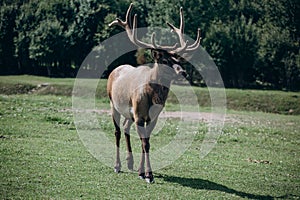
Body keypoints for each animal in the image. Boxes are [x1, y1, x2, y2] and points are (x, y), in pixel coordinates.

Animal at [106, 3, 200, 184]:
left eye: (177, 60)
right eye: (164, 60)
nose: (183, 72)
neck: (152, 96)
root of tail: (115, 70)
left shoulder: (153, 117)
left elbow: (147, 142)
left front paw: (142, 172)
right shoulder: (139, 114)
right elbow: (145, 143)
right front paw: (148, 175)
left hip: (129, 113)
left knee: (125, 127)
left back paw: (130, 163)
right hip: (113, 103)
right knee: (117, 131)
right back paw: (117, 166)